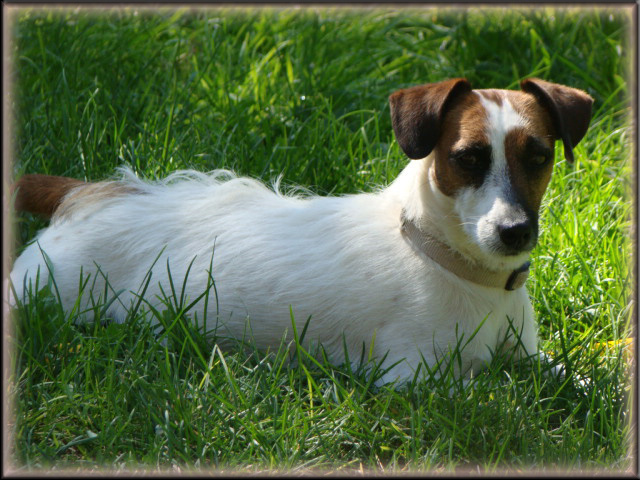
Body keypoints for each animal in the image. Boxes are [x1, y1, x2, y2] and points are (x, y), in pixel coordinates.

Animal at [10, 79, 592, 386]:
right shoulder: (414, 378)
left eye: (538, 157)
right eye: (467, 158)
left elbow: (570, 378)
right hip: (48, 292)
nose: (515, 231)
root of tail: (88, 194)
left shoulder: (529, 357)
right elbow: (491, 392)